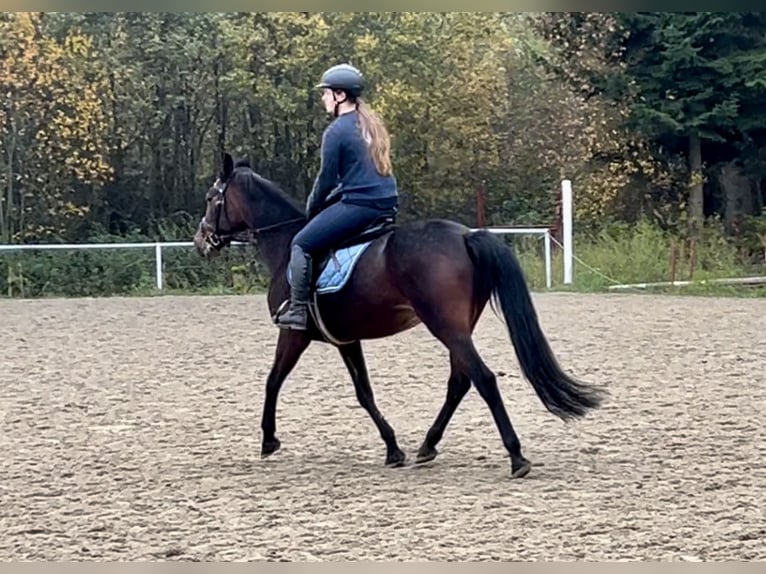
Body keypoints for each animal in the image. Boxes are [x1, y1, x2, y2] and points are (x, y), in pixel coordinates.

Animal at [190, 151, 608, 480]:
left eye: (211, 197)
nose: (201, 241)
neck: (286, 246)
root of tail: (465, 235)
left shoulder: (294, 334)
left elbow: (272, 381)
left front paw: (268, 439)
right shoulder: (347, 339)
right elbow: (364, 392)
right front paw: (393, 449)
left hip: (446, 326)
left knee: (483, 379)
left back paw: (516, 456)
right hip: (458, 327)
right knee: (460, 381)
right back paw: (427, 445)